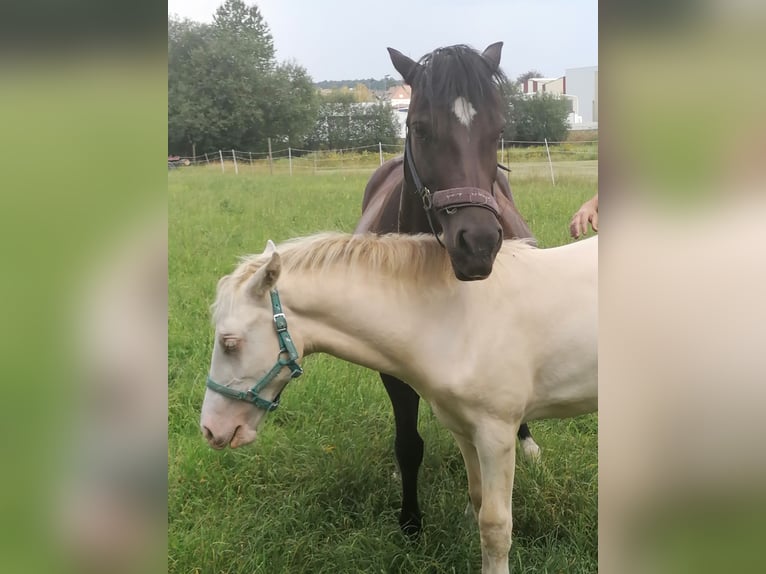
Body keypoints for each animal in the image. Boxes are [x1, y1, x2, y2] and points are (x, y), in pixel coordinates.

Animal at [202, 234, 600, 574]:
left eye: (230, 342)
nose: (210, 430)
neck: (458, 321)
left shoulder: (496, 435)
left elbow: (495, 526)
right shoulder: (464, 430)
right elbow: (477, 501)